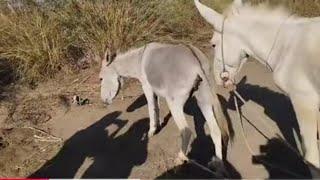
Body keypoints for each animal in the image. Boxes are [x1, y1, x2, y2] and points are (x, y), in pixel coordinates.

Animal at [99, 42, 229, 167]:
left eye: (100, 79)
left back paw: (180, 158)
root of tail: (196, 61)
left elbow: (151, 108)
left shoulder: (147, 87)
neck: (139, 60)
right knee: (215, 130)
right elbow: (157, 107)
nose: (103, 101)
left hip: (174, 103)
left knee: (186, 131)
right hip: (204, 100)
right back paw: (217, 162)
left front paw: (151, 131)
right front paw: (159, 124)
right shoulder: (155, 90)